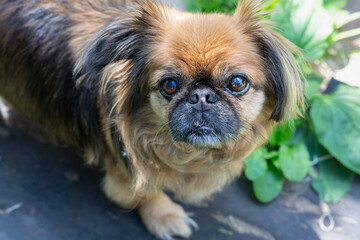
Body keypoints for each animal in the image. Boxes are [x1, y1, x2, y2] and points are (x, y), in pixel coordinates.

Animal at [0, 0, 306, 238]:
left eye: (237, 83)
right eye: (169, 85)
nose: (202, 97)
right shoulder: (125, 167)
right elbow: (145, 190)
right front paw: (165, 216)